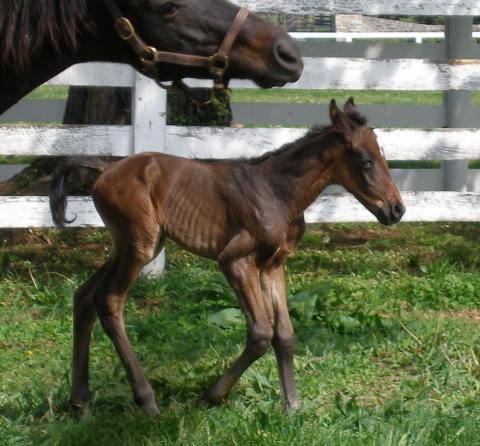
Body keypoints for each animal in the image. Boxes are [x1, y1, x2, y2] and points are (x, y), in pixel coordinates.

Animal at [50, 97, 404, 414]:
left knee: (84, 295)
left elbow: (285, 333)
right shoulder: (234, 260)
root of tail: (106, 168)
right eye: (366, 160)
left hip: (131, 244)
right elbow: (261, 333)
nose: (396, 209)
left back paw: (79, 401)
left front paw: (292, 407)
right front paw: (210, 397)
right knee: (108, 300)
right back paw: (147, 401)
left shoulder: (273, 265)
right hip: (140, 244)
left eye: (383, 155)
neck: (277, 192)